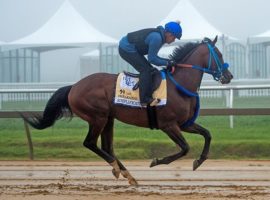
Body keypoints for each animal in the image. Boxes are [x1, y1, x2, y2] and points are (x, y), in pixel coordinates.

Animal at [21, 36, 233, 186]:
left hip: (108, 119)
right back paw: (116, 169)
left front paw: (199, 161)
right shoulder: (168, 125)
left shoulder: (184, 123)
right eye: (219, 54)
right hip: (97, 117)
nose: (228, 76)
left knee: (107, 147)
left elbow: (207, 134)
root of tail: (74, 87)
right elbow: (185, 148)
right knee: (90, 143)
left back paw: (128, 175)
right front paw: (157, 161)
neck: (179, 85)